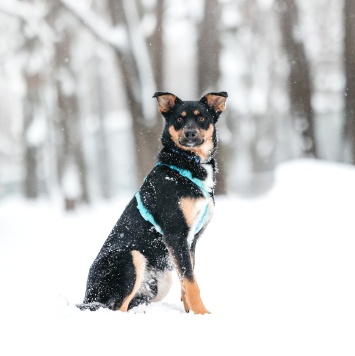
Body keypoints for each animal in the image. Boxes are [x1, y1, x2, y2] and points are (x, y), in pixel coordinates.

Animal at [78, 91, 228, 314]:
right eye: (179, 119)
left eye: (201, 118)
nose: (190, 133)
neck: (186, 164)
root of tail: (88, 296)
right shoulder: (175, 235)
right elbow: (191, 282)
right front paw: (202, 313)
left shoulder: (190, 242)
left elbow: (187, 279)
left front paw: (190, 312)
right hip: (131, 257)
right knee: (116, 307)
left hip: (161, 280)